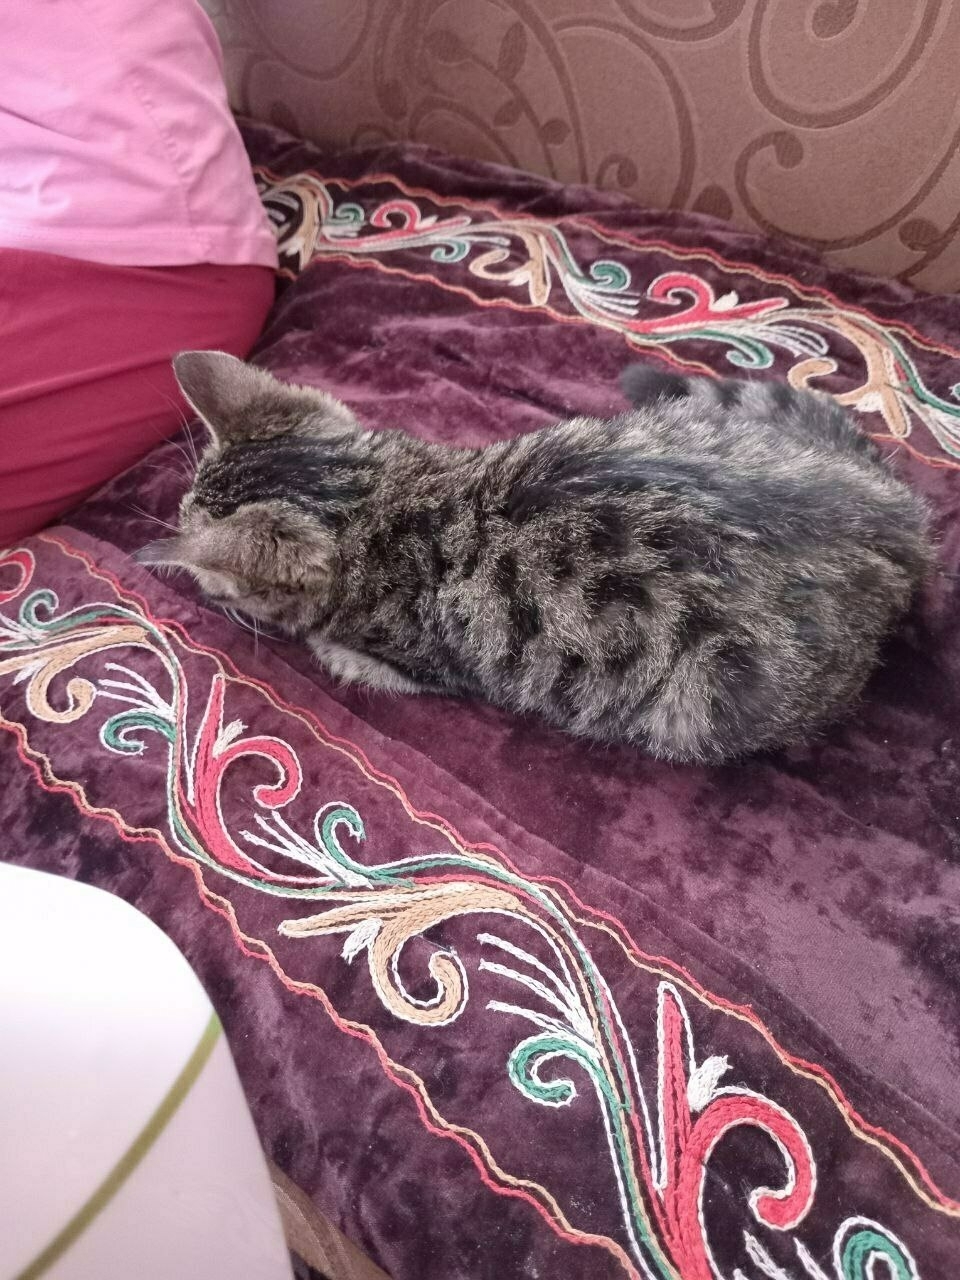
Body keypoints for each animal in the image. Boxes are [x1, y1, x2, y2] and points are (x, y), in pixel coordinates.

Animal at [136, 350, 931, 757]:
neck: (383, 493)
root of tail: (896, 515)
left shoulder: (420, 661)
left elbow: (355, 658)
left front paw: (326, 649)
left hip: (707, 700)